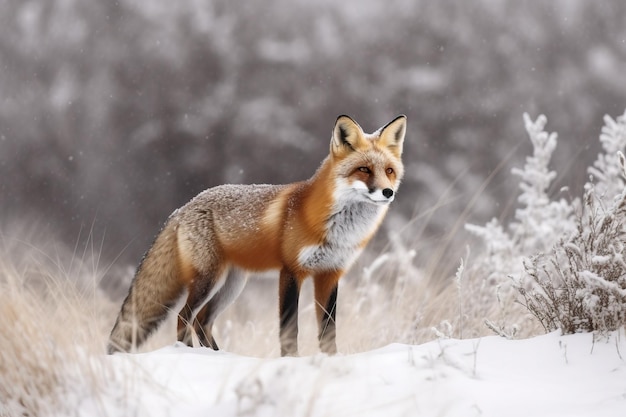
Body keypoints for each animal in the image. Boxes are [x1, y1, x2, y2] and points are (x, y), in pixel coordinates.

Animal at [107, 114, 404, 354]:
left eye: (389, 171)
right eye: (364, 169)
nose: (388, 192)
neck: (337, 229)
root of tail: (183, 207)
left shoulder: (330, 274)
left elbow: (327, 332)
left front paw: (330, 362)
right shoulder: (291, 271)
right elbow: (289, 329)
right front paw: (291, 362)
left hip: (232, 284)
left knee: (202, 321)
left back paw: (219, 357)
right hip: (208, 279)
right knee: (184, 317)